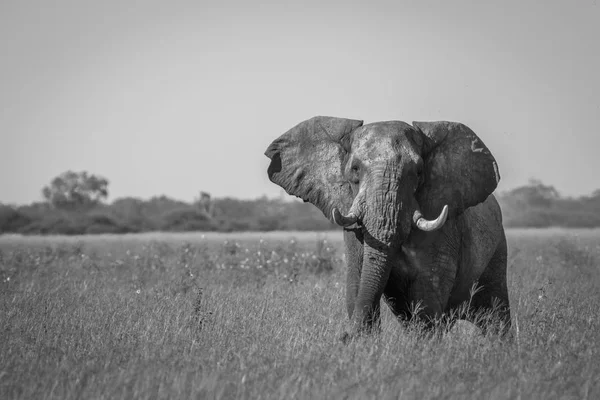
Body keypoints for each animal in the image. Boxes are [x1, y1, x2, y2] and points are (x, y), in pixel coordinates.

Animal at [264, 115, 512, 338]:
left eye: (419, 172)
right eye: (355, 169)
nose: (344, 336)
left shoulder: (444, 230)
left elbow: (427, 294)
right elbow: (357, 283)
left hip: (497, 250)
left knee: (496, 316)